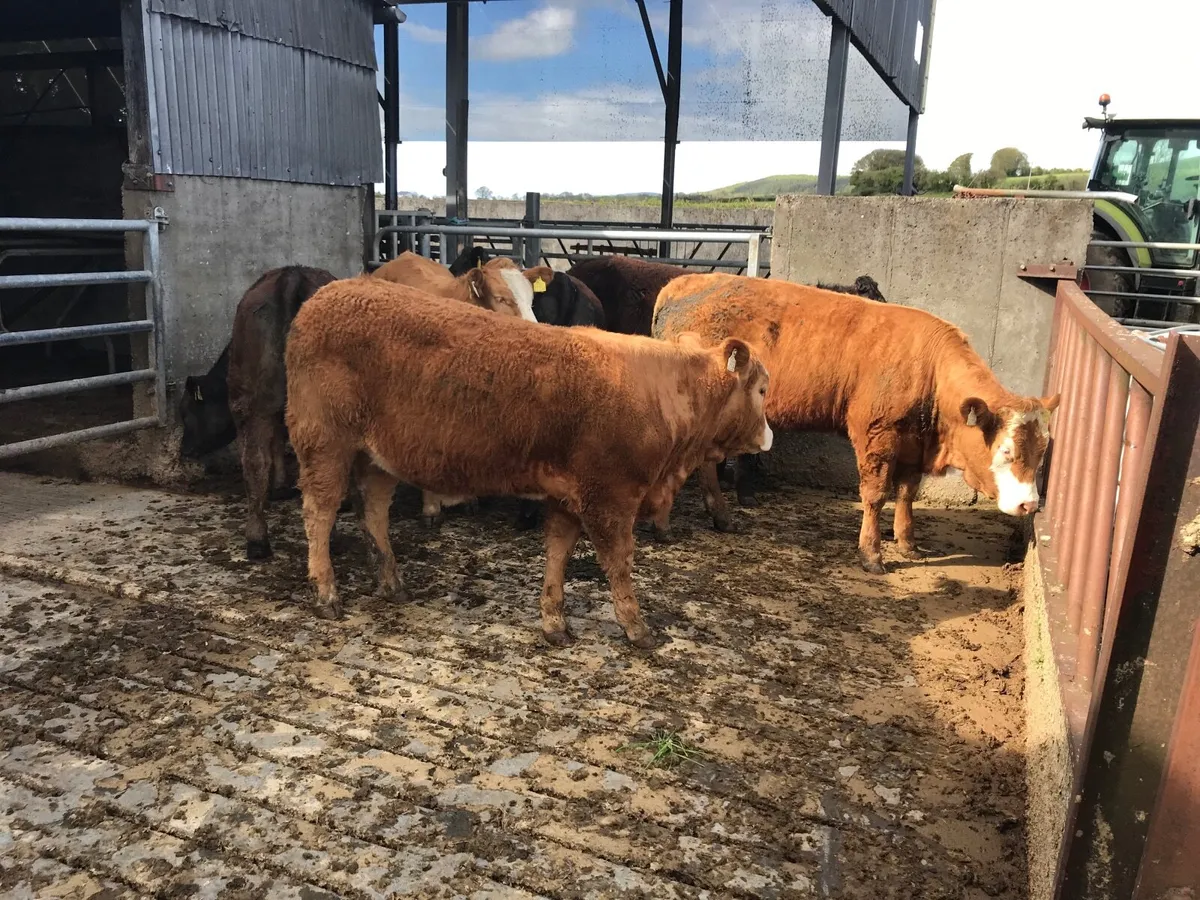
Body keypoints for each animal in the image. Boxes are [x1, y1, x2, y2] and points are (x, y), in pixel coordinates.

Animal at [179, 265, 337, 559]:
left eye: (186, 412)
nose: (183, 450)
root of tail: (291, 275)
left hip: (251, 403)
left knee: (254, 462)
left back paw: (257, 539)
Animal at [284, 276, 773, 648]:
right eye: (762, 389)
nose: (769, 436)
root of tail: (324, 296)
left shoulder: (569, 497)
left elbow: (558, 553)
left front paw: (554, 621)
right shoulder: (609, 498)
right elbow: (619, 563)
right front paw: (637, 628)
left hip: (379, 457)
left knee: (374, 512)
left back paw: (391, 583)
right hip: (324, 442)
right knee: (319, 513)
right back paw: (327, 593)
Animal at [652, 274, 1059, 574]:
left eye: (1042, 452)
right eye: (1005, 451)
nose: (1030, 505)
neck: (929, 368)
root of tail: (678, 285)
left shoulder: (913, 444)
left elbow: (907, 494)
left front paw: (908, 543)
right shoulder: (877, 434)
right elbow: (876, 495)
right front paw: (872, 554)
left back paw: (719, 516)